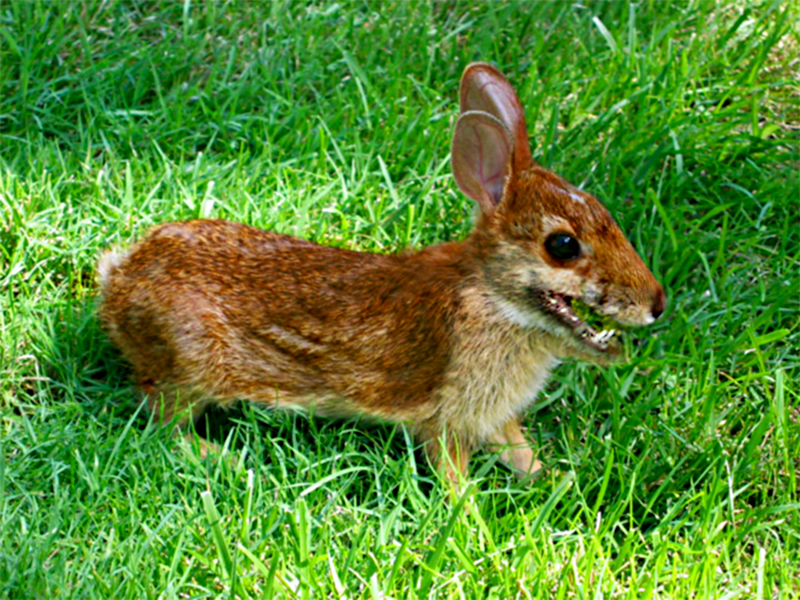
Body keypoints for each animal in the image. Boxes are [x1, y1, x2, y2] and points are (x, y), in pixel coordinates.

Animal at [98, 62, 664, 482]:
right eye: (562, 246)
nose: (656, 304)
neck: (493, 297)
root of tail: (119, 277)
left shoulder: (495, 416)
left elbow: (516, 449)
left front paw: (553, 477)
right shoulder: (448, 419)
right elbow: (451, 469)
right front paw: (469, 517)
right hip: (192, 363)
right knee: (161, 417)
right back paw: (225, 458)